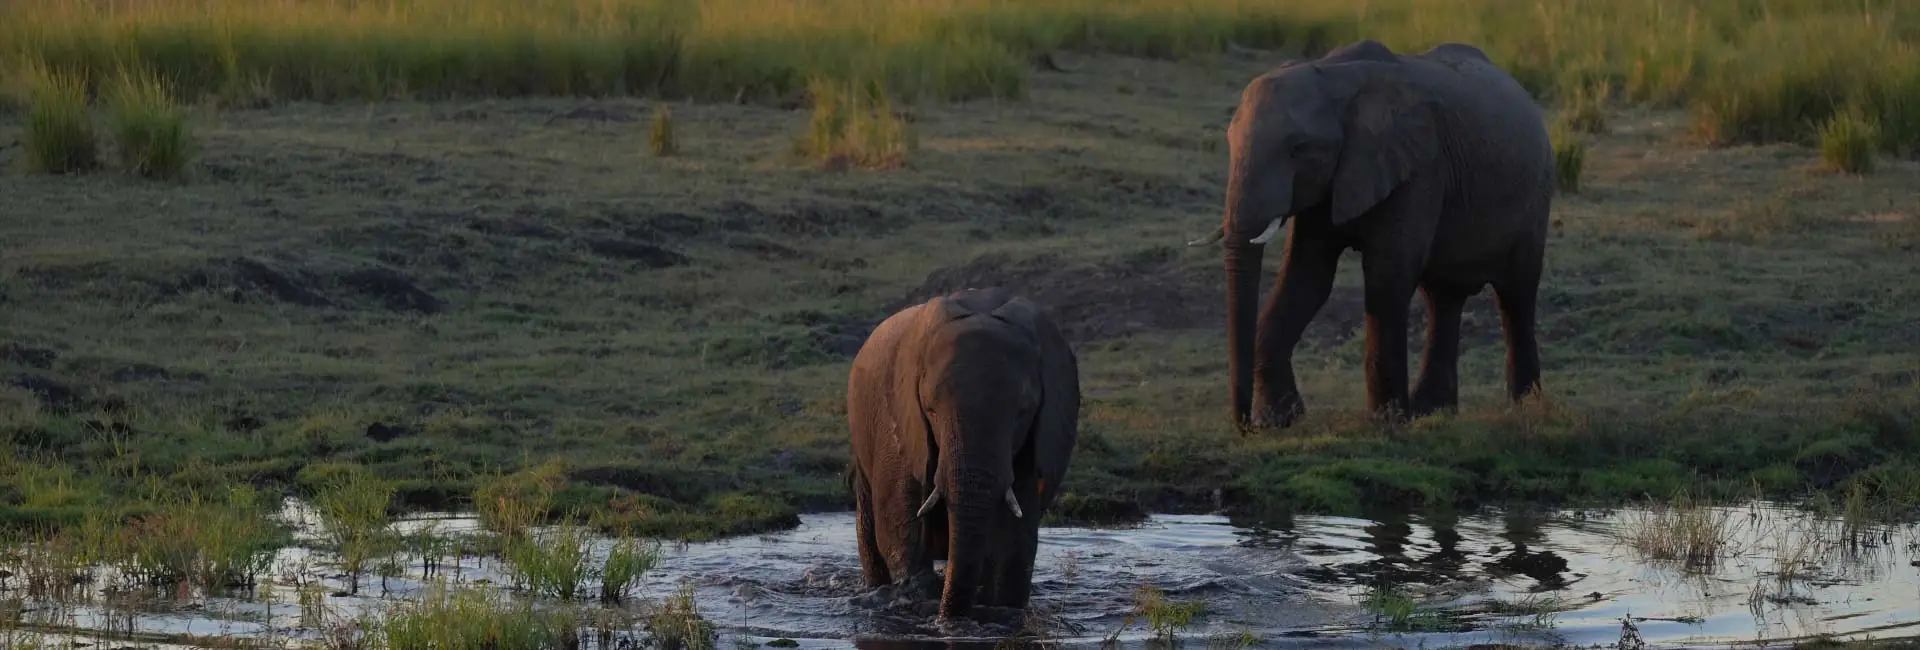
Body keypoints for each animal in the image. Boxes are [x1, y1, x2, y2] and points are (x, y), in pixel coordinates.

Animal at [840, 287, 1082, 625]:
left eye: (1023, 412)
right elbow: (901, 531)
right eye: (930, 409)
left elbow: (1013, 544)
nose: (948, 620)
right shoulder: (899, 425)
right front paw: (917, 596)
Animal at [1190, 38, 1551, 429]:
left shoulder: (1418, 168)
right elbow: (1307, 276)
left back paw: (1526, 408)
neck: (1335, 77)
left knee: (1516, 295)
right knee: (1444, 297)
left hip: (1537, 196)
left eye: (1298, 148)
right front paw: (1278, 420)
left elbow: (1387, 275)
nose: (1245, 427)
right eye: (1229, 141)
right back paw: (1433, 411)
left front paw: (1386, 423)